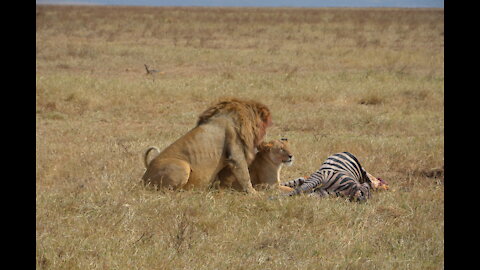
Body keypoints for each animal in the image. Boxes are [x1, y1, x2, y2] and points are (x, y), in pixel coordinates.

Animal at [141, 97, 272, 194]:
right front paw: (254, 193)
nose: (266, 133)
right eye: (266, 124)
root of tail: (144, 177)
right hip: (183, 166)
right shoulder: (236, 153)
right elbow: (245, 175)